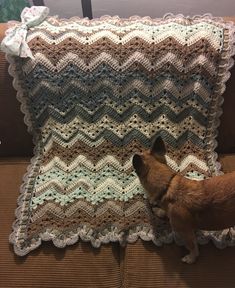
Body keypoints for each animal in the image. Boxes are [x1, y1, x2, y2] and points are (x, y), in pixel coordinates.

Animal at [132, 136, 235, 264]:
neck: (168, 185)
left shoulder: (186, 232)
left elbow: (192, 246)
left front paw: (191, 258)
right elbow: (164, 212)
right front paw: (160, 211)